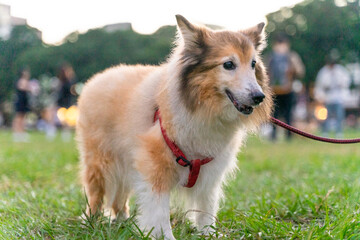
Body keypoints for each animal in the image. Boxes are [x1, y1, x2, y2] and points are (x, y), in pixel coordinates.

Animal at [76, 15, 272, 240]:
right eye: (229, 64)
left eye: (253, 64)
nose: (259, 97)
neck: (203, 108)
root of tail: (97, 78)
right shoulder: (155, 164)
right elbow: (159, 210)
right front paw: (163, 235)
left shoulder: (210, 173)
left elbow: (206, 207)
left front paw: (208, 233)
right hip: (100, 161)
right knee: (96, 194)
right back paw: (91, 221)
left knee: (120, 194)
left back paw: (123, 219)